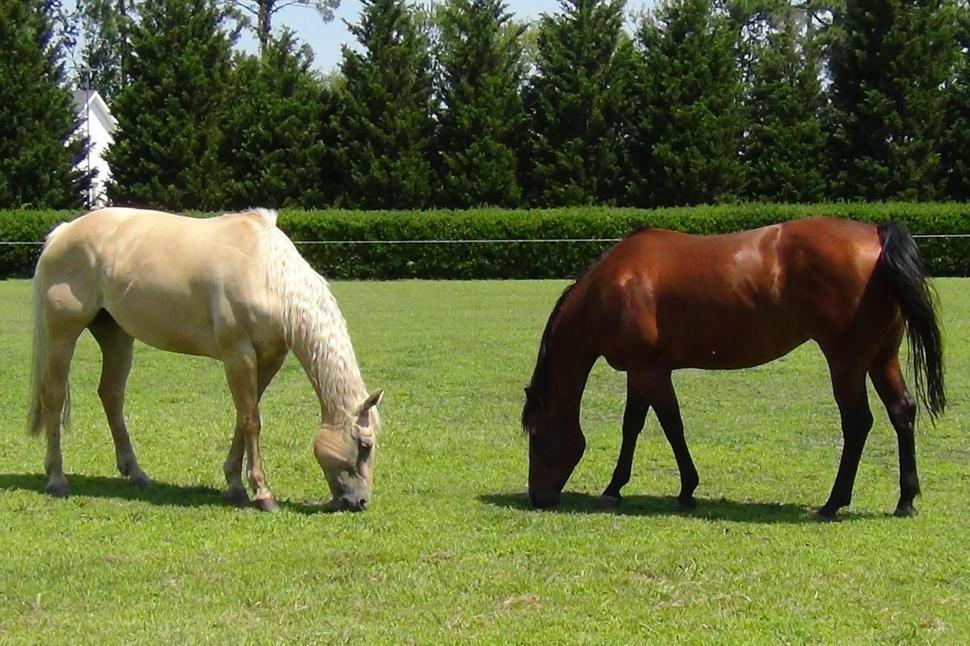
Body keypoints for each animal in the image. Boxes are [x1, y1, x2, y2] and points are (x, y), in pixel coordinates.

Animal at [28, 207, 383, 512]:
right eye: (364, 446)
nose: (360, 502)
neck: (267, 272)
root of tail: (63, 232)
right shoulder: (238, 354)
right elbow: (251, 421)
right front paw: (263, 494)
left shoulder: (269, 359)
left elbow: (245, 416)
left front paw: (235, 486)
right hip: (62, 333)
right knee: (54, 397)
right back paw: (57, 479)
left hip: (115, 334)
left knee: (111, 395)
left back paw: (137, 473)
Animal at [522, 218, 945, 520]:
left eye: (538, 436)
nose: (538, 497)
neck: (612, 286)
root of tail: (876, 234)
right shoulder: (641, 372)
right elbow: (634, 426)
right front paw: (616, 488)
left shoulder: (650, 373)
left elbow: (671, 426)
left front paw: (685, 489)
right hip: (881, 358)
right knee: (902, 412)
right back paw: (905, 500)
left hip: (846, 362)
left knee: (857, 423)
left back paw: (832, 503)